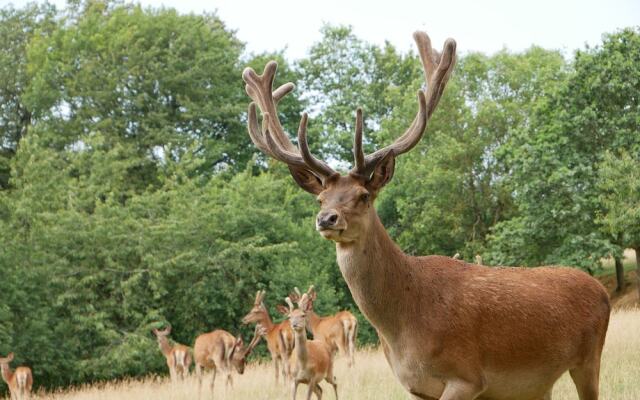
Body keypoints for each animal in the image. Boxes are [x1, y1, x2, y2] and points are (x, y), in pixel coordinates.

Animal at [241, 30, 608, 400]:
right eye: (320, 198)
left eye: (363, 196)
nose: (327, 219)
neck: (405, 328)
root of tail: (603, 290)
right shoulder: (415, 386)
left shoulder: (467, 377)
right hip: (535, 385)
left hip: (589, 357)